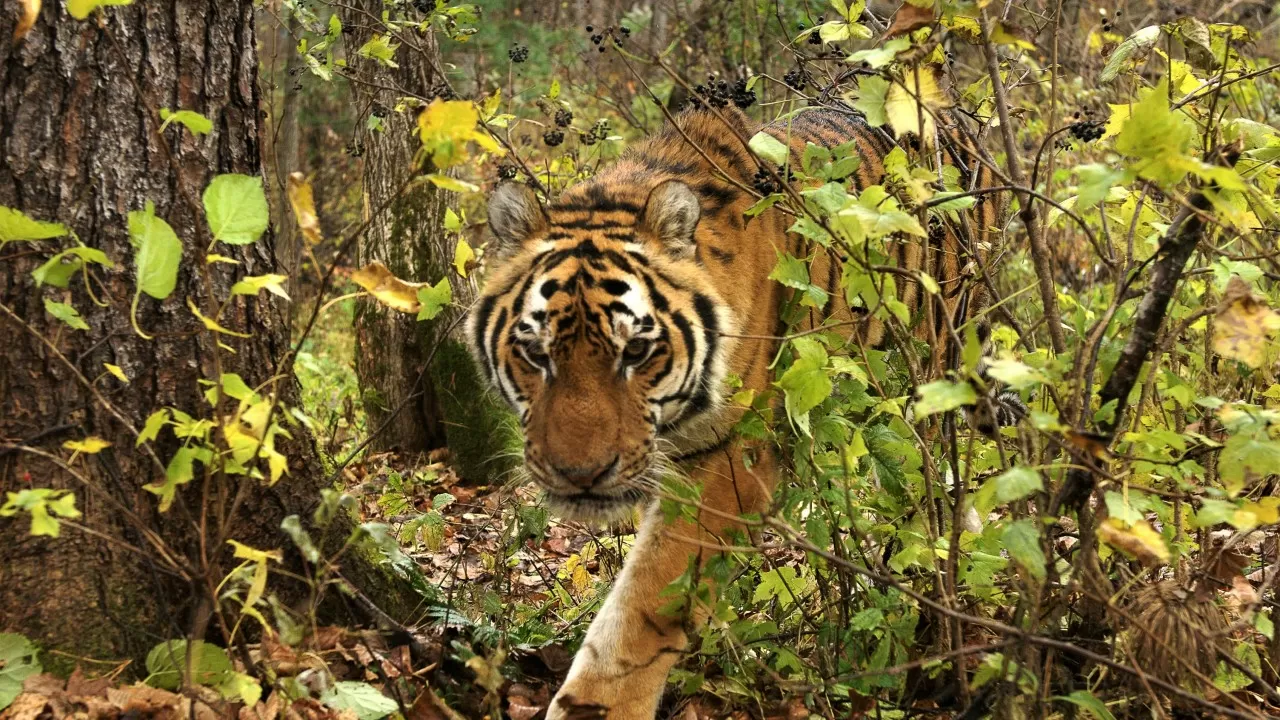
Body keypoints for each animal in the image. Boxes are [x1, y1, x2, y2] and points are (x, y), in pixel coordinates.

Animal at [465, 102, 1013, 717]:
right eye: (536, 353)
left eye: (636, 351)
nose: (579, 475)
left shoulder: (729, 464)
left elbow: (643, 607)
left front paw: (596, 704)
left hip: (939, 353)